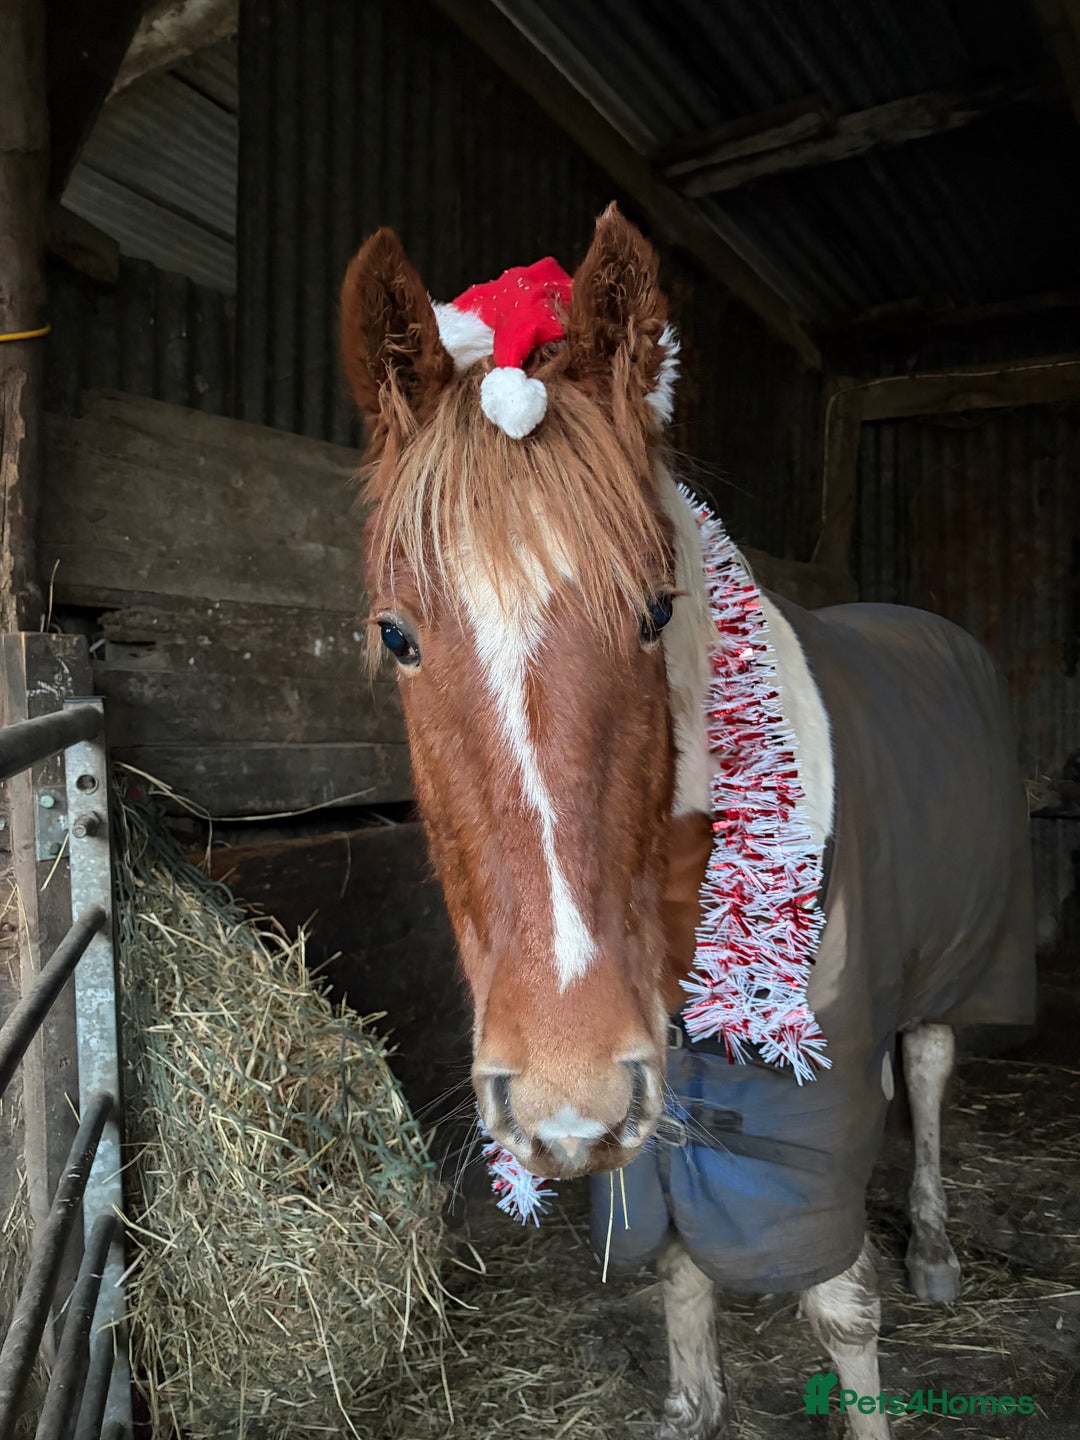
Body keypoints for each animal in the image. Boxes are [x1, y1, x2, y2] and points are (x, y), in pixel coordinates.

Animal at [338, 204, 1035, 1440]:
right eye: (397, 633)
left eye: (656, 612)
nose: (560, 1102)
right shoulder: (652, 1076)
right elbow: (674, 1253)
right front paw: (692, 1399)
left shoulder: (809, 1098)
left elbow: (839, 1306)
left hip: (963, 953)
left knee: (932, 1062)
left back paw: (938, 1246)